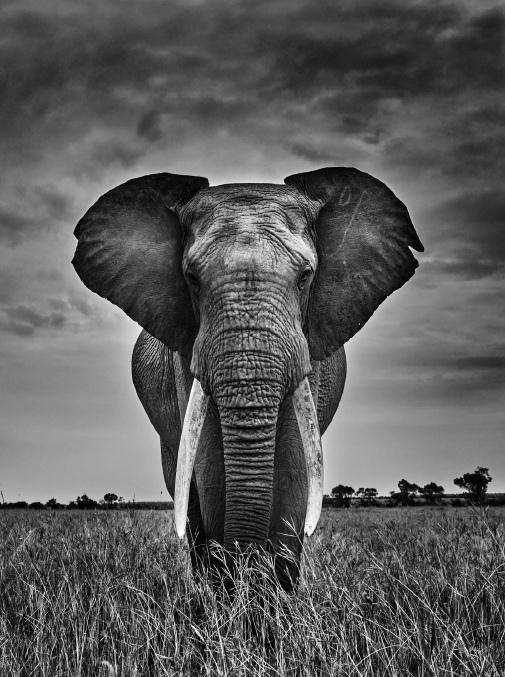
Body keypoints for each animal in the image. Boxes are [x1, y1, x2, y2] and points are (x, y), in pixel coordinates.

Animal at [72, 167, 423, 591]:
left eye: (305, 277)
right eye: (191, 278)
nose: (246, 566)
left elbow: (293, 466)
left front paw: (274, 601)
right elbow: (209, 469)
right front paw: (230, 599)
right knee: (186, 496)